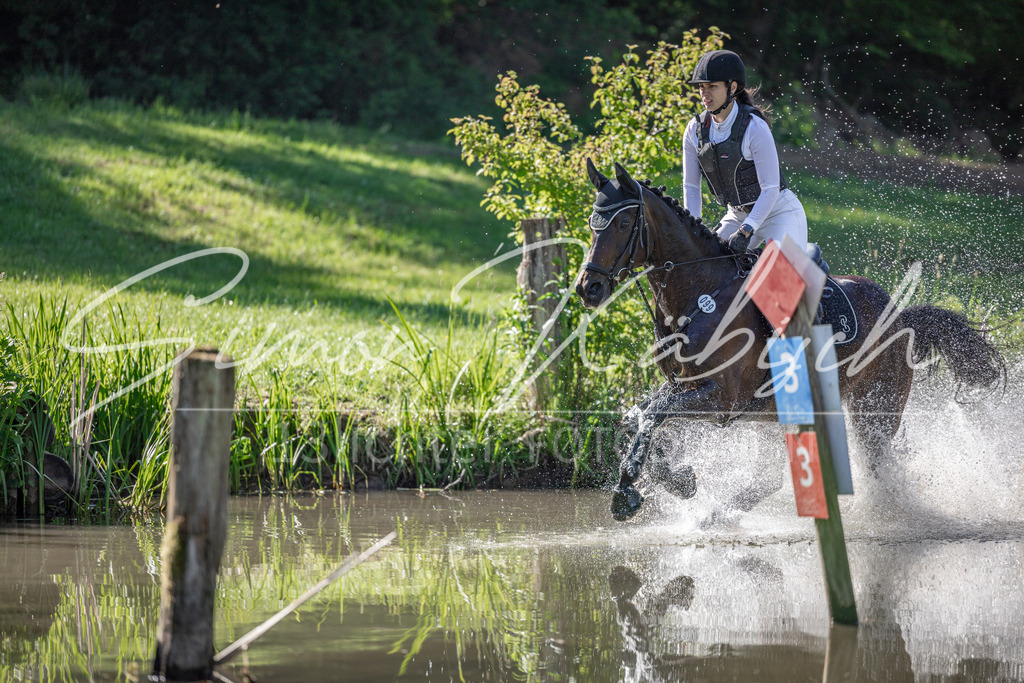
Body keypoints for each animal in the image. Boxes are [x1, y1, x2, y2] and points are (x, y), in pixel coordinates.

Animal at [574, 160, 1004, 521]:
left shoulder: (722, 399)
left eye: (622, 224)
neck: (699, 294)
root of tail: (901, 315)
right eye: (593, 224)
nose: (588, 288)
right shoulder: (682, 386)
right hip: (782, 412)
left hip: (875, 410)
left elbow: (652, 415)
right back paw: (717, 516)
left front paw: (626, 494)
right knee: (770, 478)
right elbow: (638, 415)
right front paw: (678, 481)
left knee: (882, 471)